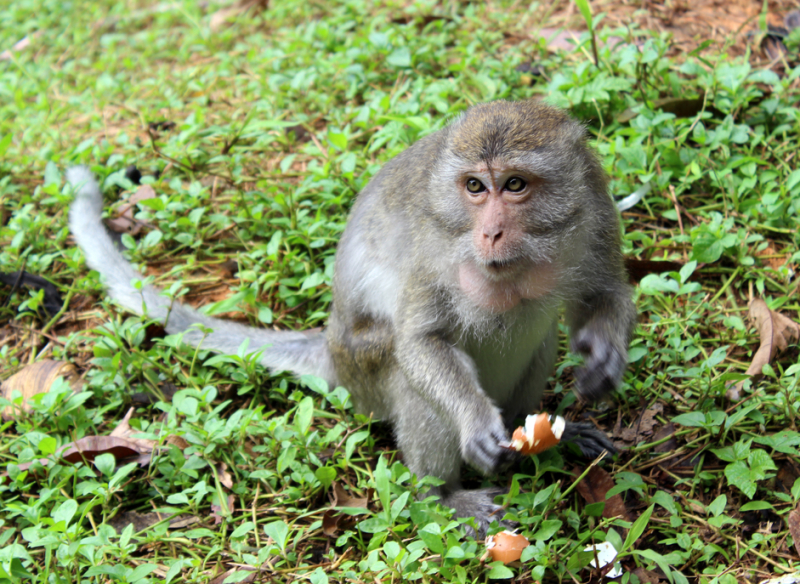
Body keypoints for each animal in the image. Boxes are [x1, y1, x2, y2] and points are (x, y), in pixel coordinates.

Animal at [65, 99, 636, 540]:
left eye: (515, 185)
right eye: (475, 187)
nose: (490, 233)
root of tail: (331, 346)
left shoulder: (596, 208)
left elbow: (604, 294)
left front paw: (605, 358)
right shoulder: (434, 247)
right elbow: (421, 343)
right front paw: (474, 423)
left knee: (537, 339)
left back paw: (540, 432)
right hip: (362, 371)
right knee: (405, 373)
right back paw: (444, 497)